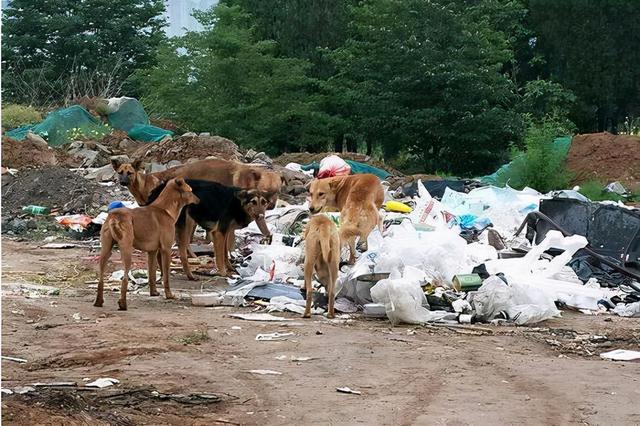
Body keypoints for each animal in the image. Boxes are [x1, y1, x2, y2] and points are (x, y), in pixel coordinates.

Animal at [92, 178, 198, 312]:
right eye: (190, 190)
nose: (199, 200)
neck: (165, 209)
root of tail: (115, 216)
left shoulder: (152, 252)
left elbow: (151, 274)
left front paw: (154, 293)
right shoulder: (166, 249)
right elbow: (166, 277)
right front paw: (169, 295)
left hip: (105, 250)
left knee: (100, 279)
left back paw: (98, 302)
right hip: (127, 250)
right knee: (125, 279)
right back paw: (123, 304)